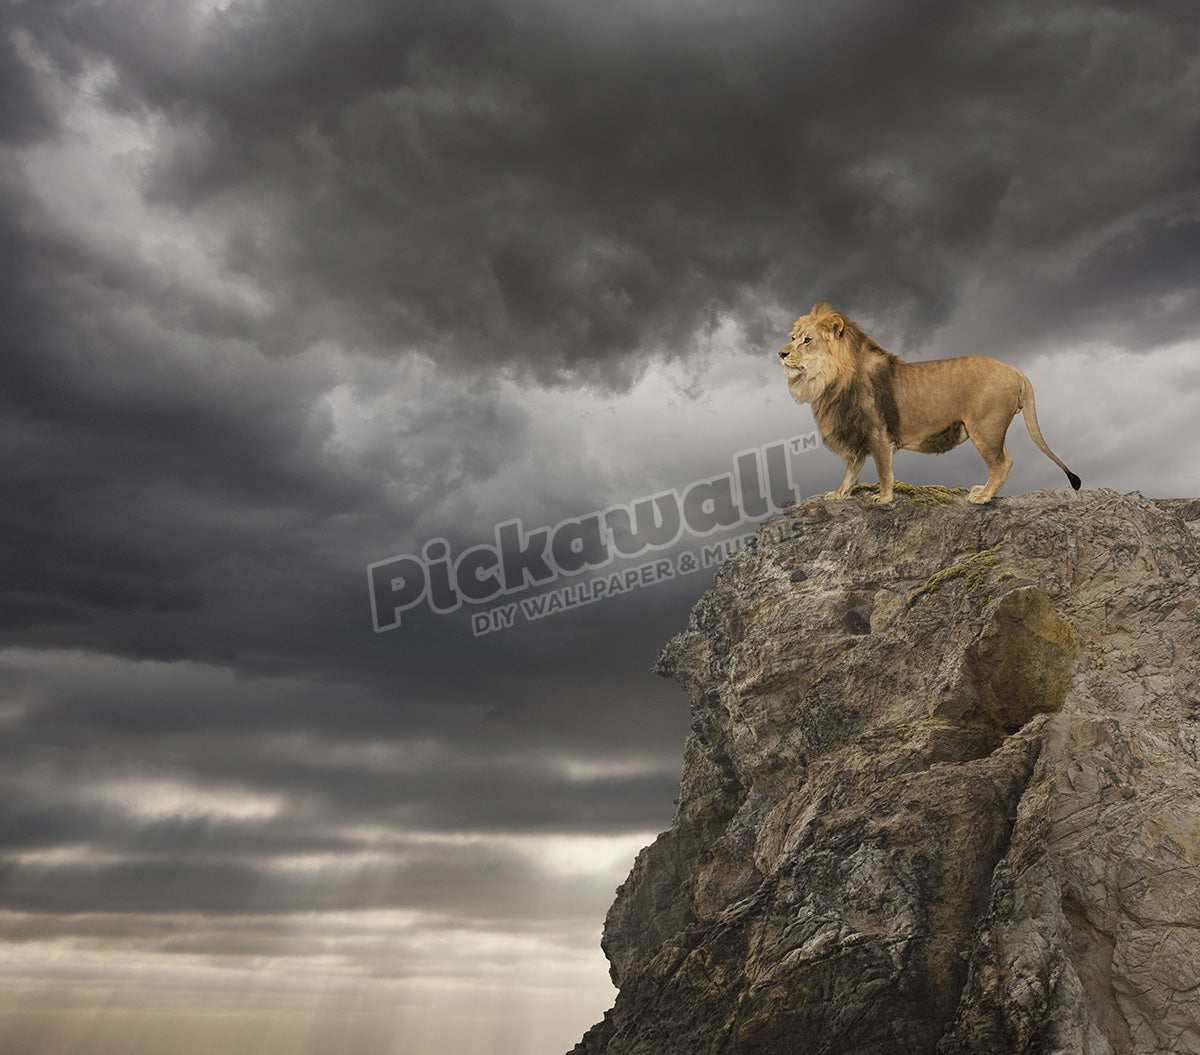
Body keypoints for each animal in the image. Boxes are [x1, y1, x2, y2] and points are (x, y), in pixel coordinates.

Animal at [778, 302, 1081, 504]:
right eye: (792, 338)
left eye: (807, 340)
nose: (781, 353)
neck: (826, 381)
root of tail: (1017, 372)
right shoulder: (856, 436)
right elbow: (850, 472)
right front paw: (838, 494)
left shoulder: (877, 435)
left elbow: (884, 471)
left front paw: (883, 498)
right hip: (991, 429)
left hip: (985, 428)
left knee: (1003, 463)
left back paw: (982, 497)